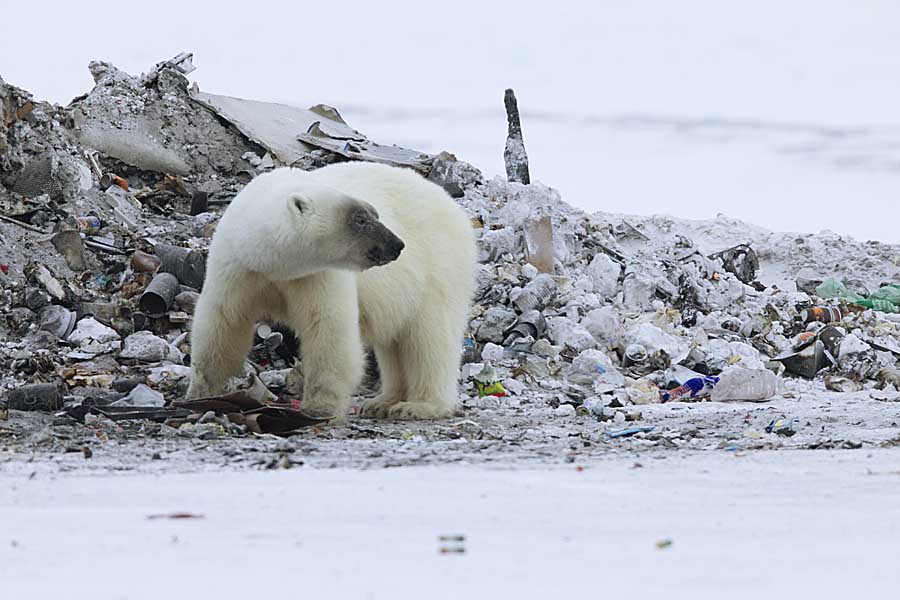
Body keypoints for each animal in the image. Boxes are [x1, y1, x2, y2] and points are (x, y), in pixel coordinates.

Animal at [185, 162, 478, 420]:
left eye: (374, 214)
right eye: (361, 219)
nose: (397, 245)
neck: (273, 265)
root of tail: (452, 205)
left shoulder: (317, 276)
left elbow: (328, 330)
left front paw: (319, 408)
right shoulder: (237, 267)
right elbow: (223, 324)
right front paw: (200, 394)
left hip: (438, 266)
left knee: (428, 338)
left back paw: (419, 406)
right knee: (393, 341)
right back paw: (382, 402)